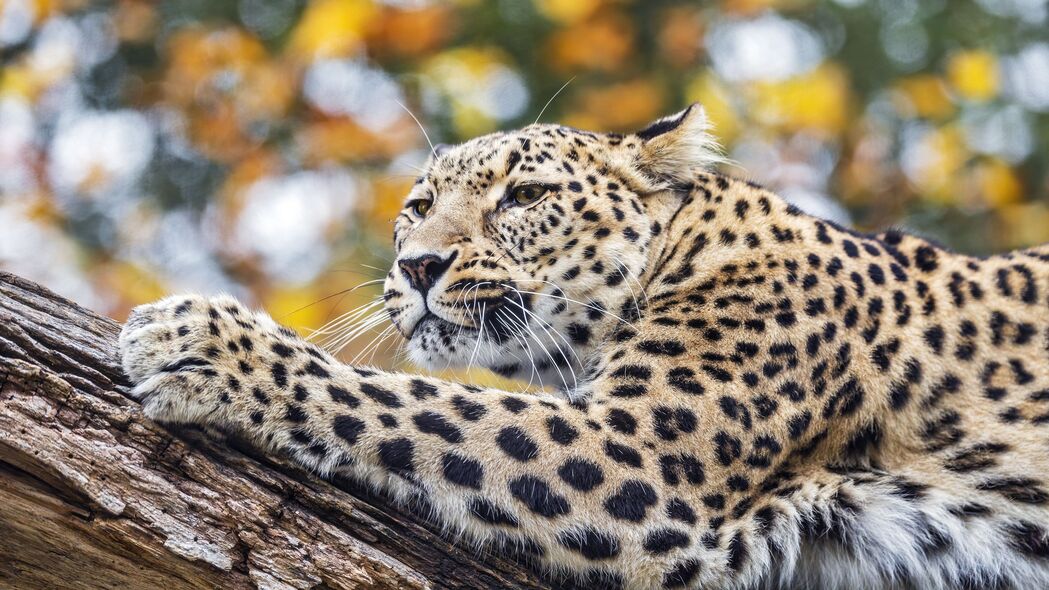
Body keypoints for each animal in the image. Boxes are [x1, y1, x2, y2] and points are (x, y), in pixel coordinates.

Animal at [119, 105, 1049, 587]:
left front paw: (203, 341)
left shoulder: (639, 455)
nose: (417, 266)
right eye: (418, 207)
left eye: (525, 196)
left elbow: (408, 400)